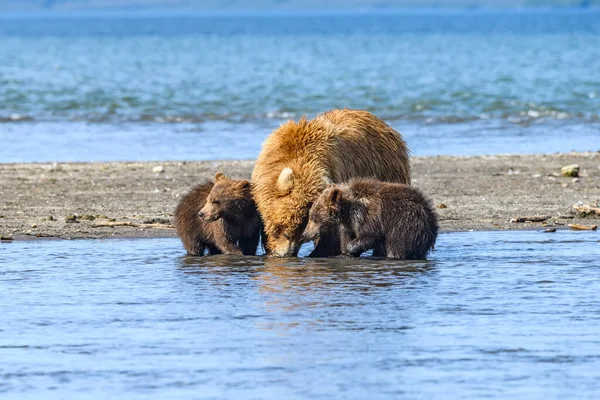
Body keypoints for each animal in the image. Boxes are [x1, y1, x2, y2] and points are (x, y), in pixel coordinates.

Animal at [304, 180, 436, 260]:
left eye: (313, 217)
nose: (305, 233)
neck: (347, 211)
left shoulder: (367, 215)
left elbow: (370, 235)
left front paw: (349, 250)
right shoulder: (350, 225)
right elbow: (347, 237)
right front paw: (344, 252)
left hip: (405, 223)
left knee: (397, 245)